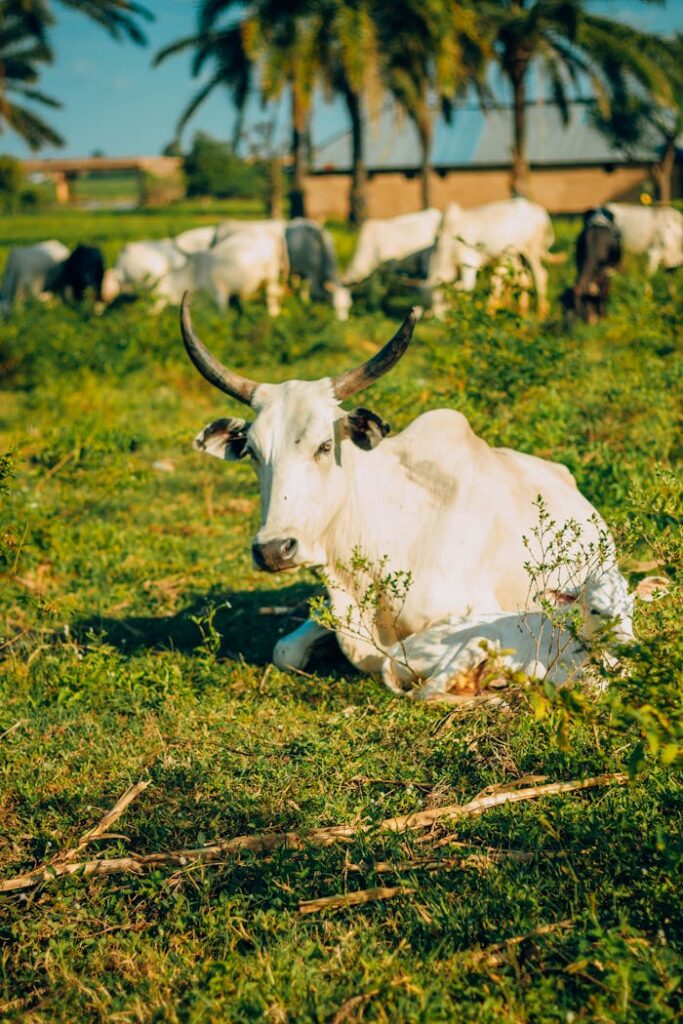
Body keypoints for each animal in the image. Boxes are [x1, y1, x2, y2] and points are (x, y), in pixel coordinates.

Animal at [381, 575, 668, 701]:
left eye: (630, 606)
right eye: (595, 609)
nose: (629, 644)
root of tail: (396, 650)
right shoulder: (543, 671)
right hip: (478, 641)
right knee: (427, 692)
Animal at [427, 198, 558, 317]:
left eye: (439, 297)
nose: (439, 318)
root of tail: (541, 212)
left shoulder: (469, 263)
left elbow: (467, 288)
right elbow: (496, 284)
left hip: (531, 251)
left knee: (540, 274)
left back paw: (541, 312)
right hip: (517, 256)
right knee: (524, 279)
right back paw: (522, 311)